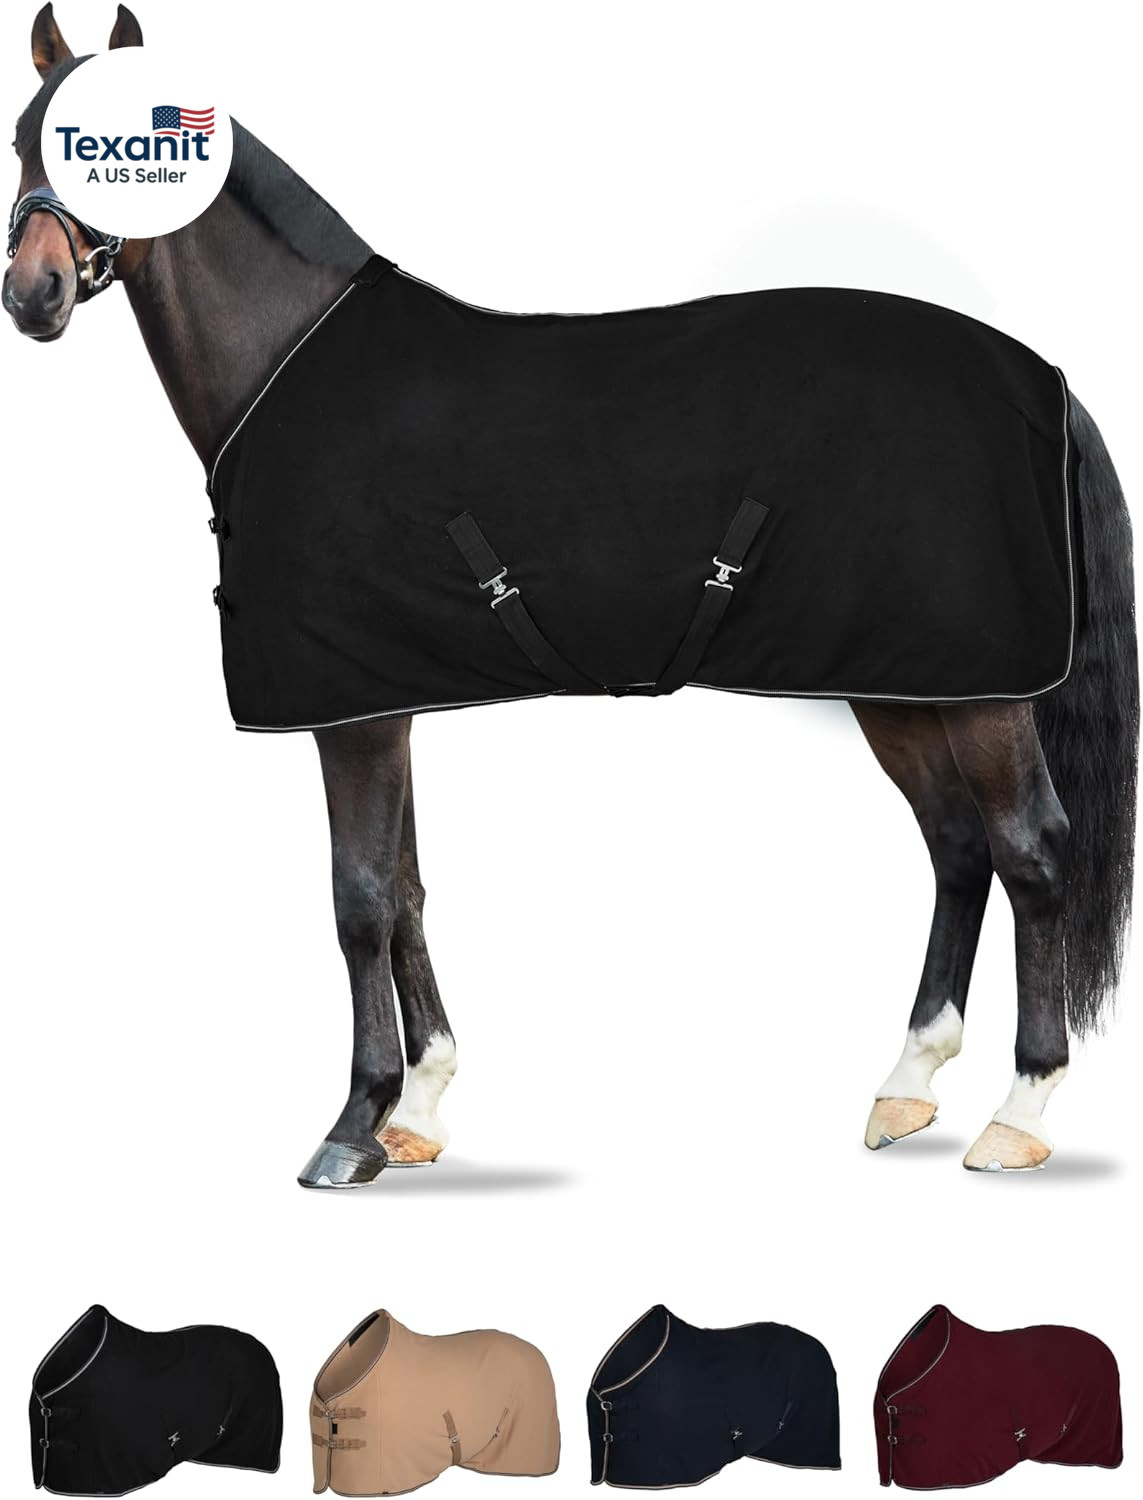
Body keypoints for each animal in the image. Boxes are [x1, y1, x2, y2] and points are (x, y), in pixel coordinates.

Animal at [6, 4, 1137, 1188]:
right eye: (22, 139)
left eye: (101, 145)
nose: (32, 295)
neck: (288, 364)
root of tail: (1045, 383)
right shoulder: (388, 696)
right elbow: (407, 887)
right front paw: (421, 1107)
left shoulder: (350, 713)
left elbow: (358, 898)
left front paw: (352, 1125)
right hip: (902, 683)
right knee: (958, 848)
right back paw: (907, 1086)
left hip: (981, 692)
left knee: (1031, 852)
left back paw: (1020, 1111)